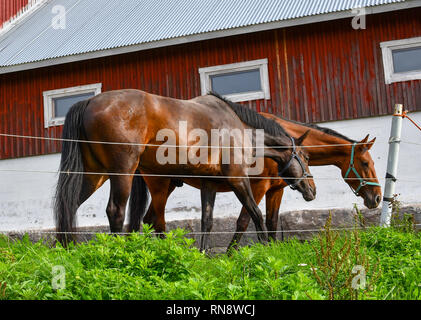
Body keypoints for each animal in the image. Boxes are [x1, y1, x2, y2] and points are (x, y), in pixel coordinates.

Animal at [53, 89, 316, 246]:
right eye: (304, 156)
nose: (312, 189)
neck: (237, 127)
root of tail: (88, 101)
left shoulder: (209, 184)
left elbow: (206, 222)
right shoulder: (238, 180)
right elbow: (256, 215)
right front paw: (266, 250)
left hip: (94, 175)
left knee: (69, 205)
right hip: (122, 173)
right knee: (116, 212)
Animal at [134, 111, 380, 251]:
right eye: (365, 163)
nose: (377, 198)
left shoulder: (275, 190)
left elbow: (271, 222)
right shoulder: (256, 187)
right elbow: (244, 221)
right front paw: (231, 254)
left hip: (168, 186)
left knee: (148, 220)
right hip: (160, 185)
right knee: (157, 221)